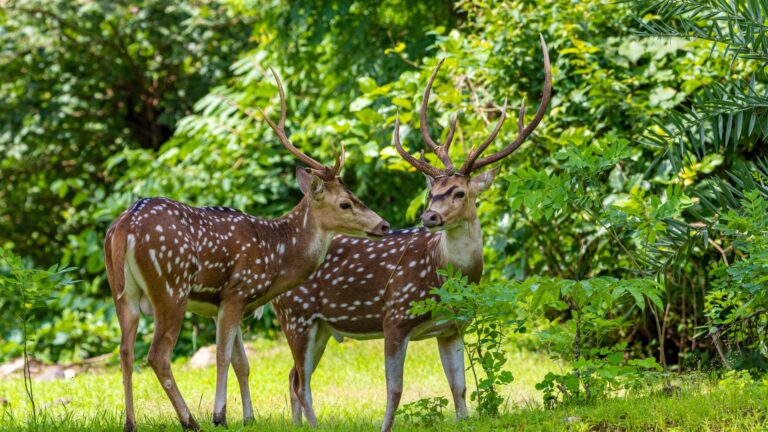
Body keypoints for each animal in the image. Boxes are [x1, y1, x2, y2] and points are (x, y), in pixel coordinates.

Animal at [104, 68, 390, 432]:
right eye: (345, 203)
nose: (384, 225)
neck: (275, 254)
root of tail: (125, 226)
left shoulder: (227, 304)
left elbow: (242, 362)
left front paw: (249, 416)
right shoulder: (237, 291)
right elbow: (223, 356)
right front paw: (220, 416)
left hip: (122, 292)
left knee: (125, 351)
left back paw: (131, 422)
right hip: (171, 286)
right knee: (157, 355)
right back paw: (190, 420)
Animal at [272, 35, 551, 432]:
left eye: (459, 192)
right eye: (432, 193)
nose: (429, 216)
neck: (444, 275)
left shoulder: (453, 327)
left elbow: (459, 387)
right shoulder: (396, 315)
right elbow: (395, 390)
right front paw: (384, 426)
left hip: (320, 326)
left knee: (294, 377)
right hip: (296, 314)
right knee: (300, 382)